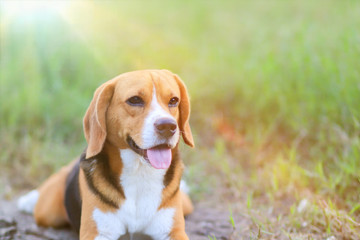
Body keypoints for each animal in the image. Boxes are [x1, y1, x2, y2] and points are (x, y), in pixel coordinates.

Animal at [17, 68, 194, 239]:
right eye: (135, 100)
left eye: (173, 100)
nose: (168, 126)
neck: (139, 173)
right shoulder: (97, 233)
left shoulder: (173, 231)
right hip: (48, 213)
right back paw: (29, 199)